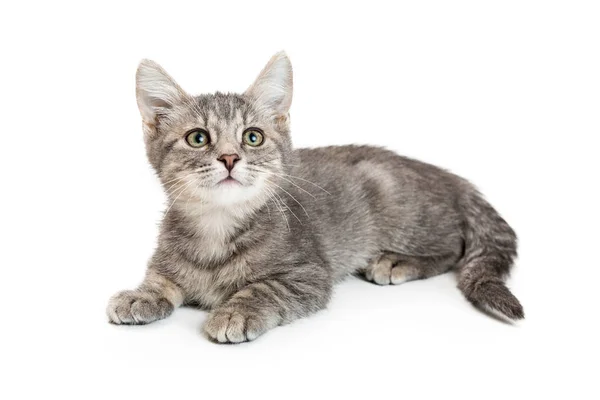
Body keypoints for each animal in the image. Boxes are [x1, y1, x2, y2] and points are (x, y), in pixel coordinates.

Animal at [108, 50, 524, 344]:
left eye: (252, 137)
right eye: (198, 138)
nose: (229, 157)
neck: (217, 227)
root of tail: (447, 175)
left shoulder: (308, 273)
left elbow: (265, 287)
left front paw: (235, 311)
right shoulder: (165, 258)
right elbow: (161, 278)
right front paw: (140, 295)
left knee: (453, 247)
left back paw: (397, 261)